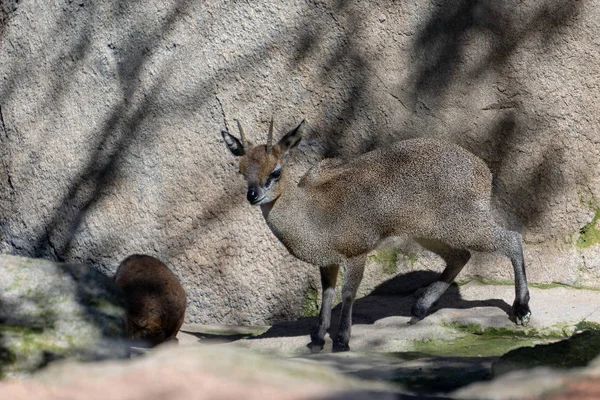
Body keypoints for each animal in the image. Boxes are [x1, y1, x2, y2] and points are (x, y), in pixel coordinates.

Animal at [223, 119, 532, 354]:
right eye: (241, 170)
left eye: (275, 172)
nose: (253, 195)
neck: (312, 213)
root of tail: (483, 170)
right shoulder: (327, 261)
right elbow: (327, 294)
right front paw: (316, 339)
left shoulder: (356, 253)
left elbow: (348, 294)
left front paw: (342, 341)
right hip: (429, 231)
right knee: (461, 256)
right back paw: (419, 309)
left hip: (462, 224)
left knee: (511, 239)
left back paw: (522, 309)